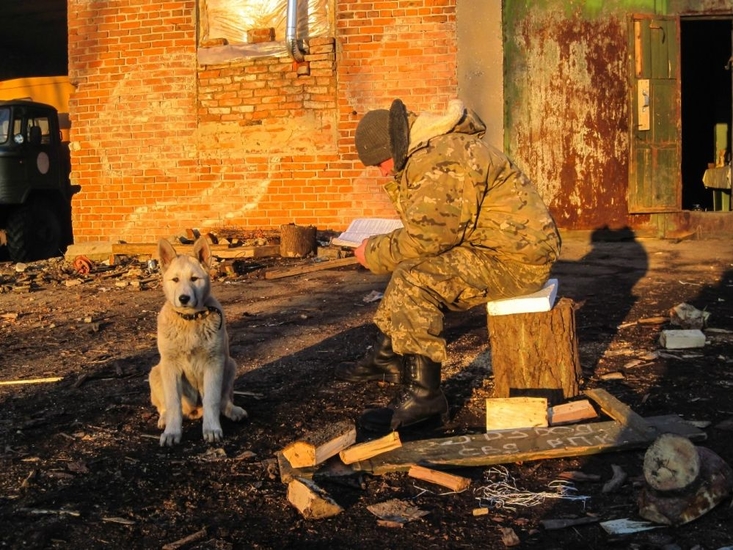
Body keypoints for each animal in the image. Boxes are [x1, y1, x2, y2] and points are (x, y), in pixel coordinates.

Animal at [148, 238, 246, 448]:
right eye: (175, 280)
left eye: (194, 279)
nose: (184, 298)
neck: (190, 321)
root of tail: (194, 411)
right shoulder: (171, 366)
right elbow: (173, 403)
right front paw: (172, 432)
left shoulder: (214, 363)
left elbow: (212, 400)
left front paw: (212, 429)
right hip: (157, 372)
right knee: (165, 407)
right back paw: (164, 419)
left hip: (230, 364)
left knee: (224, 399)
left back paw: (233, 410)